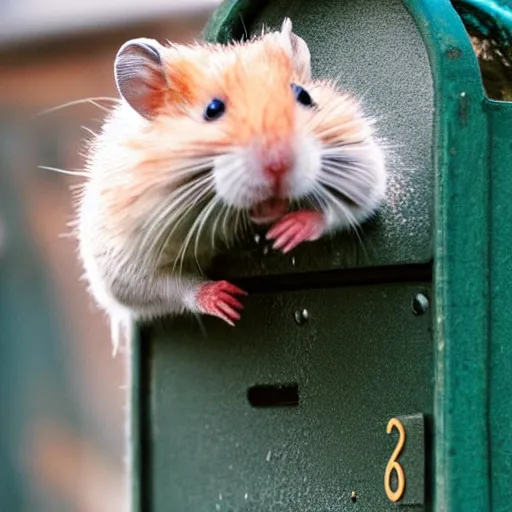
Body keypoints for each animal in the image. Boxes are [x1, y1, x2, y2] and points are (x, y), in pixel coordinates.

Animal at [76, 17, 386, 352]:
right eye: (212, 110)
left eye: (304, 96)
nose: (279, 162)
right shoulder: (122, 259)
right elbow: (160, 285)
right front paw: (229, 301)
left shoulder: (365, 168)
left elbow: (353, 204)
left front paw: (285, 234)